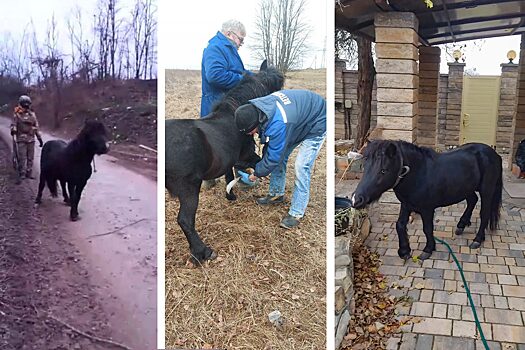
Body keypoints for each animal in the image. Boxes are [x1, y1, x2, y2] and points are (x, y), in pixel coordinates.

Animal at [166, 60, 284, 262]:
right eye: (274, 89)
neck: (234, 115)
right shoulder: (245, 158)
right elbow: (257, 164)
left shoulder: (229, 160)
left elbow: (229, 174)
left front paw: (231, 195)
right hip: (189, 188)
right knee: (185, 220)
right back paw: (202, 252)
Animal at [350, 142, 502, 260]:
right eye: (364, 167)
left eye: (383, 170)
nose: (356, 199)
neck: (419, 173)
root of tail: (494, 154)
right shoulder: (406, 205)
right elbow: (400, 225)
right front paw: (404, 251)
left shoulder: (427, 209)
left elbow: (427, 228)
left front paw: (428, 249)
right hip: (466, 188)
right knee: (472, 200)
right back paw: (461, 225)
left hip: (487, 190)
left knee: (484, 214)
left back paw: (477, 240)